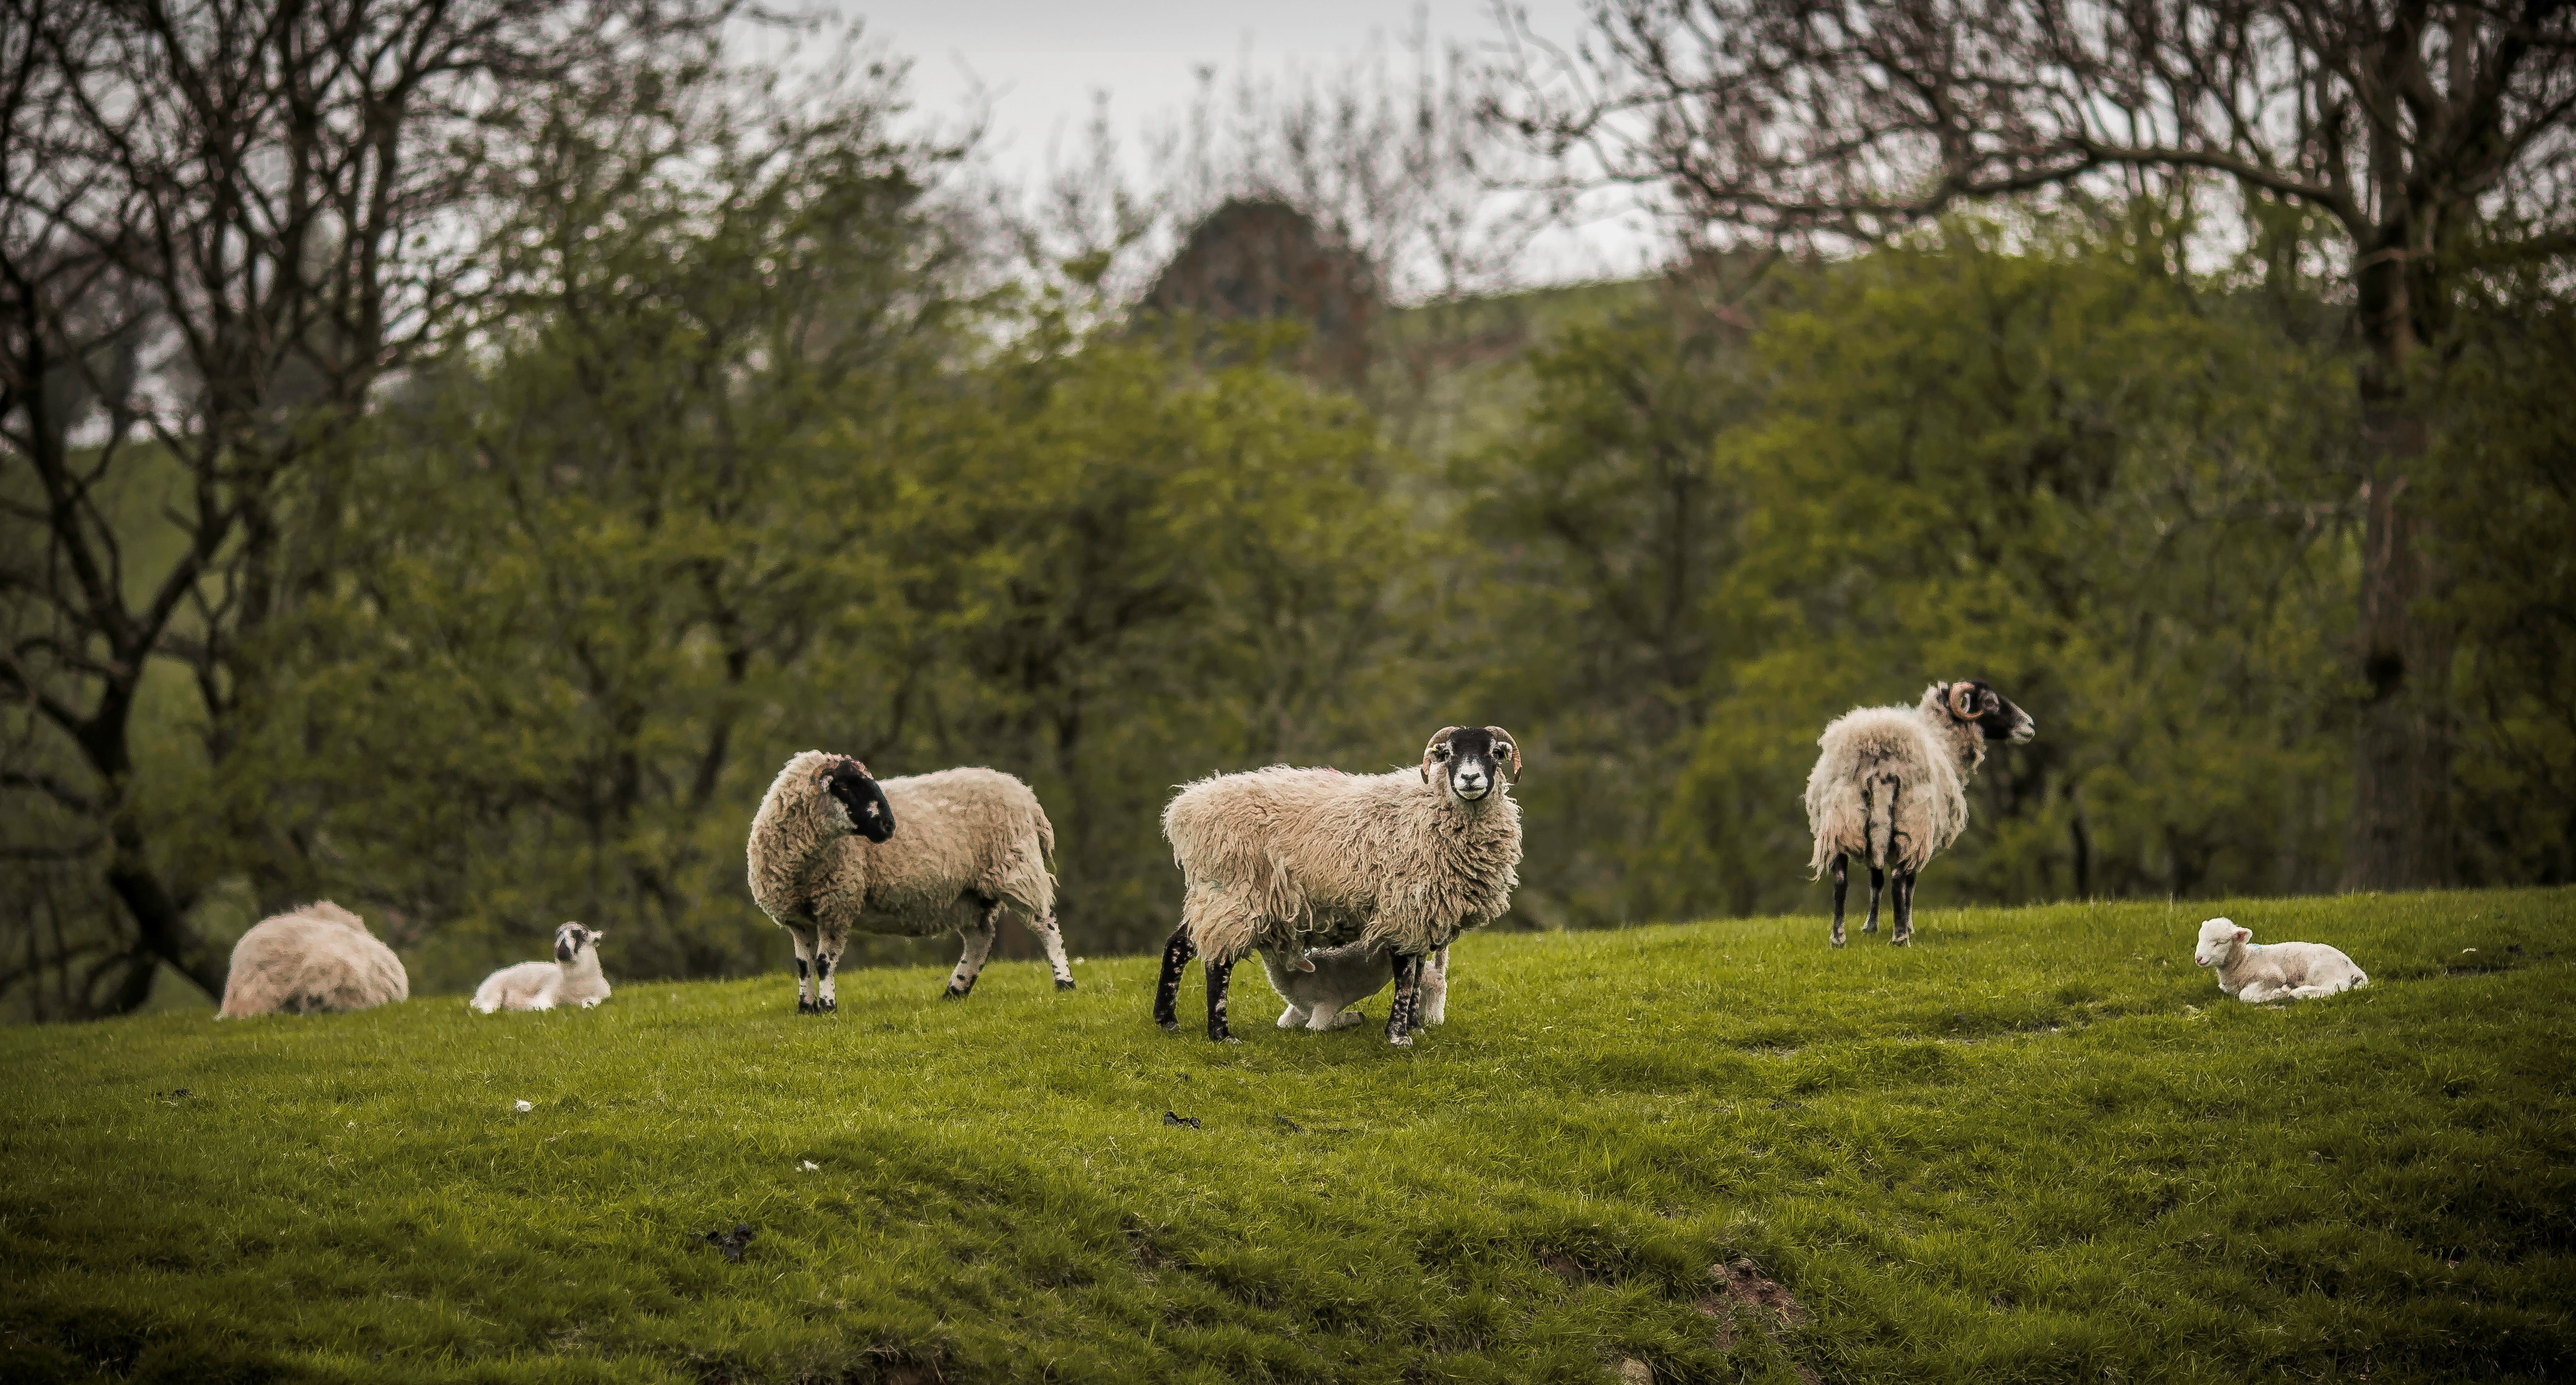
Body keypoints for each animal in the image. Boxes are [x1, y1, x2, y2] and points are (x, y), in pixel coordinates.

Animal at [471, 922, 612, 1013]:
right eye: (558, 935)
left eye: (580, 936)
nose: (561, 950)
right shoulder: (547, 992)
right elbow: (544, 1007)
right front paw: (532, 1007)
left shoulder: (601, 997)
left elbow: (591, 1003)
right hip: (493, 992)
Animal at [747, 750, 1068, 1013]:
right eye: (847, 786)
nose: (890, 826)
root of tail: (1026, 794)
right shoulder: (798, 918)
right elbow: (804, 966)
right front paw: (806, 1008)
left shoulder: (837, 905)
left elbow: (825, 961)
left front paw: (827, 1007)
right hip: (968, 896)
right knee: (981, 940)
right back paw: (954, 992)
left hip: (1017, 870)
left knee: (1047, 925)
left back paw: (1064, 983)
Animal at [1259, 940, 1451, 1032]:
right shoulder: (1300, 1007)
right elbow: (1283, 1023)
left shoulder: (1328, 1001)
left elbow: (1314, 1027)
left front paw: (1345, 1020)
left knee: (1437, 981)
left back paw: (1435, 1018)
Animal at [1805, 680, 2034, 948]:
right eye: (1990, 703)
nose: (2030, 726)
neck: (1945, 739)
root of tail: (1881, 756)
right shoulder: (1925, 835)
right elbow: (1909, 883)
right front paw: (1908, 925)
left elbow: (1876, 879)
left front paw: (1870, 927)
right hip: (1912, 820)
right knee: (1898, 877)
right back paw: (1900, 937)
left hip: (1842, 818)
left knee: (1842, 878)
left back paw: (1838, 938)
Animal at [2194, 917, 2369, 1002]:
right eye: (2200, 939)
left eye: (2218, 943)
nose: (2198, 959)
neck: (2243, 962)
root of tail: (2356, 971)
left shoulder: (2273, 975)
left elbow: (2246, 996)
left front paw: (2277, 993)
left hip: (2322, 971)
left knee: (2335, 988)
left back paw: (2299, 992)